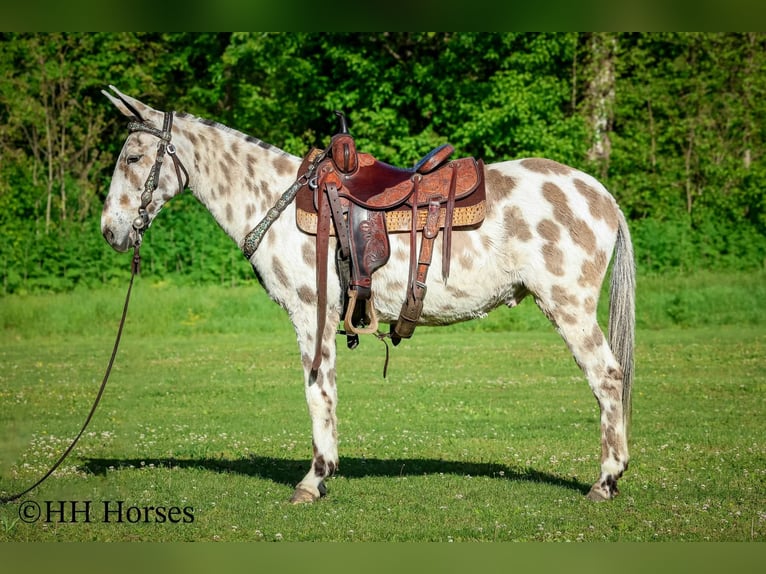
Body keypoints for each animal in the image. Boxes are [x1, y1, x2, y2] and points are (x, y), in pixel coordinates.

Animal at [100, 86, 635, 503]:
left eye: (132, 158)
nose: (110, 231)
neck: (277, 200)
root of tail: (602, 195)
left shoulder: (311, 314)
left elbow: (318, 392)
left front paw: (315, 479)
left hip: (569, 306)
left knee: (608, 379)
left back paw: (606, 481)